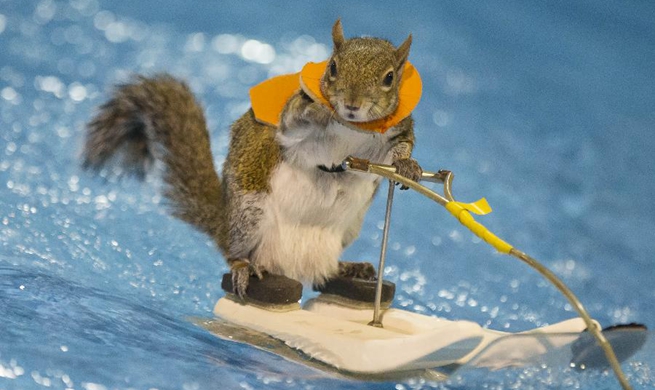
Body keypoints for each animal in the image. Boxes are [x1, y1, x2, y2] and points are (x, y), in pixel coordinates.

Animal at [82, 20, 422, 298]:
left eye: (389, 78)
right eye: (333, 67)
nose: (351, 104)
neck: (351, 127)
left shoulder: (393, 134)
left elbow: (399, 149)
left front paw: (408, 166)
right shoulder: (291, 127)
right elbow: (291, 121)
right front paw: (314, 109)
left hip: (349, 226)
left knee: (321, 273)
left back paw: (348, 268)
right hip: (249, 212)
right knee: (234, 251)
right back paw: (244, 266)